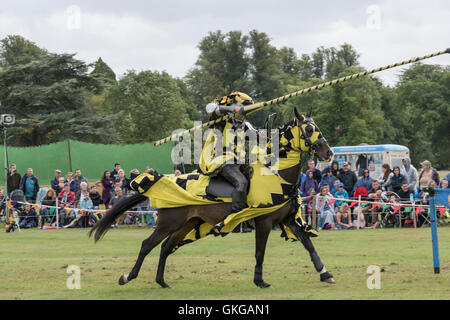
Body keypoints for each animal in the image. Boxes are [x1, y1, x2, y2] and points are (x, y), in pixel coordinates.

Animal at [89, 108, 334, 290]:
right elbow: (260, 252)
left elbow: (308, 244)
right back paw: (128, 277)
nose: (328, 153)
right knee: (147, 245)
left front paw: (325, 273)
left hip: (187, 223)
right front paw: (260, 281)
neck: (276, 175)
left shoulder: (288, 220)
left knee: (166, 247)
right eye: (309, 128)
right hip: (169, 222)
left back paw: (162, 282)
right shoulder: (264, 223)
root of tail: (163, 180)